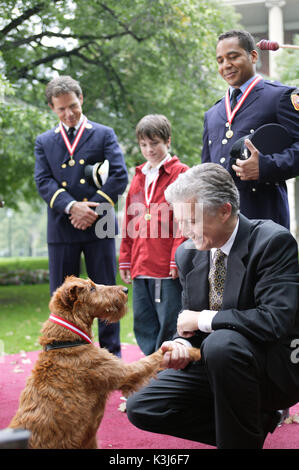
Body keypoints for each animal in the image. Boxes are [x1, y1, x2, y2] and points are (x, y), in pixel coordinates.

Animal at [9, 276, 202, 448]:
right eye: (92, 289)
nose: (125, 290)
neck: (65, 341)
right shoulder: (125, 373)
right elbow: (155, 357)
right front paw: (193, 351)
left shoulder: (89, 440)